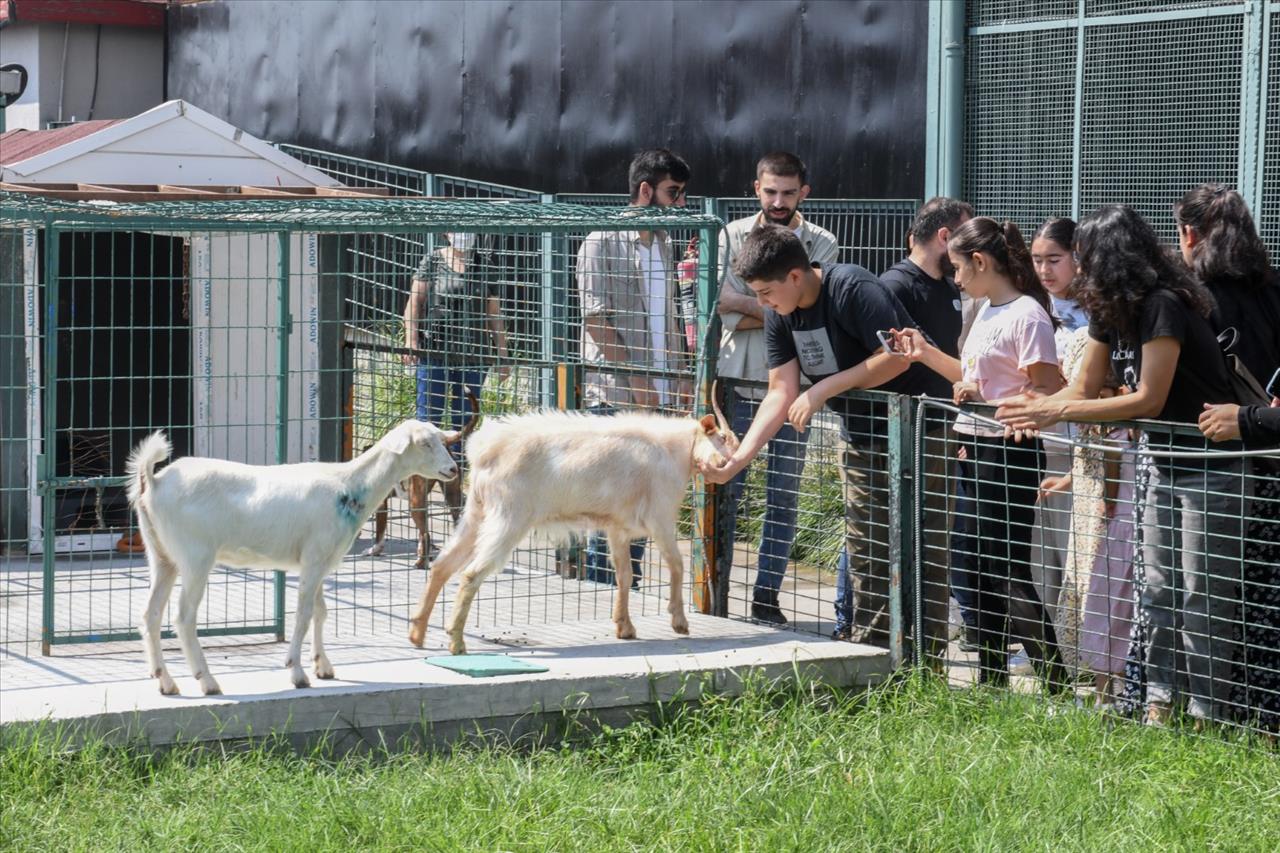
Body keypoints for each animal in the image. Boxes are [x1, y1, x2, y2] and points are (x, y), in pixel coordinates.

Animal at [124, 417, 463, 691]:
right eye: (424, 443)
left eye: (442, 441)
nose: (453, 469)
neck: (350, 485)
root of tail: (153, 481)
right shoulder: (314, 558)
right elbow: (302, 614)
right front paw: (297, 672)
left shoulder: (320, 560)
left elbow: (321, 612)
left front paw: (323, 666)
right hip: (195, 556)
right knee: (183, 618)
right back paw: (207, 681)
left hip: (161, 555)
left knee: (150, 615)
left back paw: (165, 682)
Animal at [404, 399, 737, 650]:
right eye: (722, 439)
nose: (731, 465)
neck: (673, 451)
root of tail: (486, 449)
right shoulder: (661, 517)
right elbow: (677, 565)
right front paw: (679, 622)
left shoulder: (617, 528)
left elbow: (624, 575)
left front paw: (624, 627)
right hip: (509, 518)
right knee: (471, 573)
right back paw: (456, 643)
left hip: (477, 511)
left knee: (443, 564)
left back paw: (417, 633)